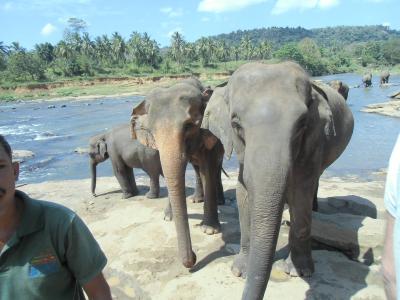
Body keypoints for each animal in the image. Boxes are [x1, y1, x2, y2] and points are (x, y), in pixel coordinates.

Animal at [131, 78, 225, 268]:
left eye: (189, 126)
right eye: (152, 131)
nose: (193, 258)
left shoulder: (210, 136)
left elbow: (208, 169)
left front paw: (209, 230)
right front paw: (168, 217)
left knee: (214, 169)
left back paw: (220, 201)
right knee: (196, 169)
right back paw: (196, 199)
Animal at [203, 62, 354, 298]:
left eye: (302, 123)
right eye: (236, 124)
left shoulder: (314, 140)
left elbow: (301, 192)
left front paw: (298, 272)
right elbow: (243, 194)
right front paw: (240, 271)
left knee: (314, 182)